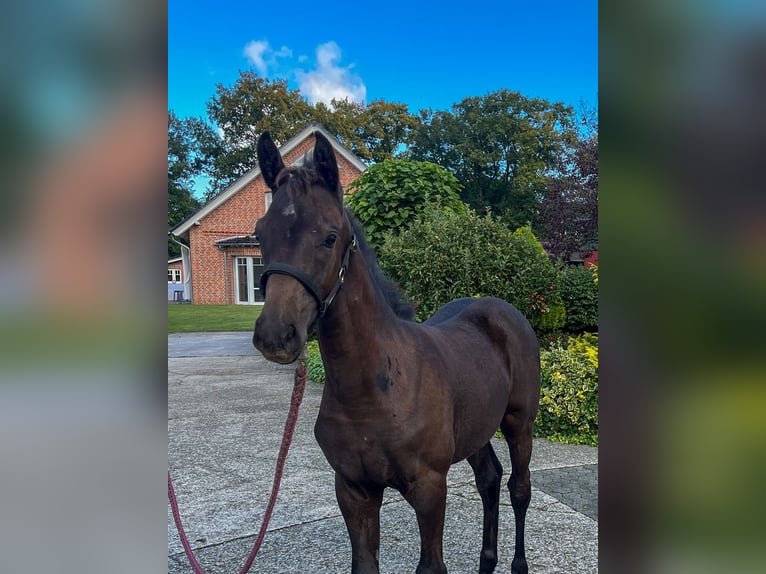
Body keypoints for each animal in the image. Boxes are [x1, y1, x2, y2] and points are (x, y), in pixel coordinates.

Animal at [252, 132, 540, 574]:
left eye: (330, 236)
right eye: (261, 233)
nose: (275, 335)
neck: (375, 388)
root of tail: (503, 310)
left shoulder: (429, 487)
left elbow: (431, 565)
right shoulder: (354, 490)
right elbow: (364, 563)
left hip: (519, 423)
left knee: (518, 488)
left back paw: (517, 564)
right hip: (476, 428)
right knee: (489, 480)